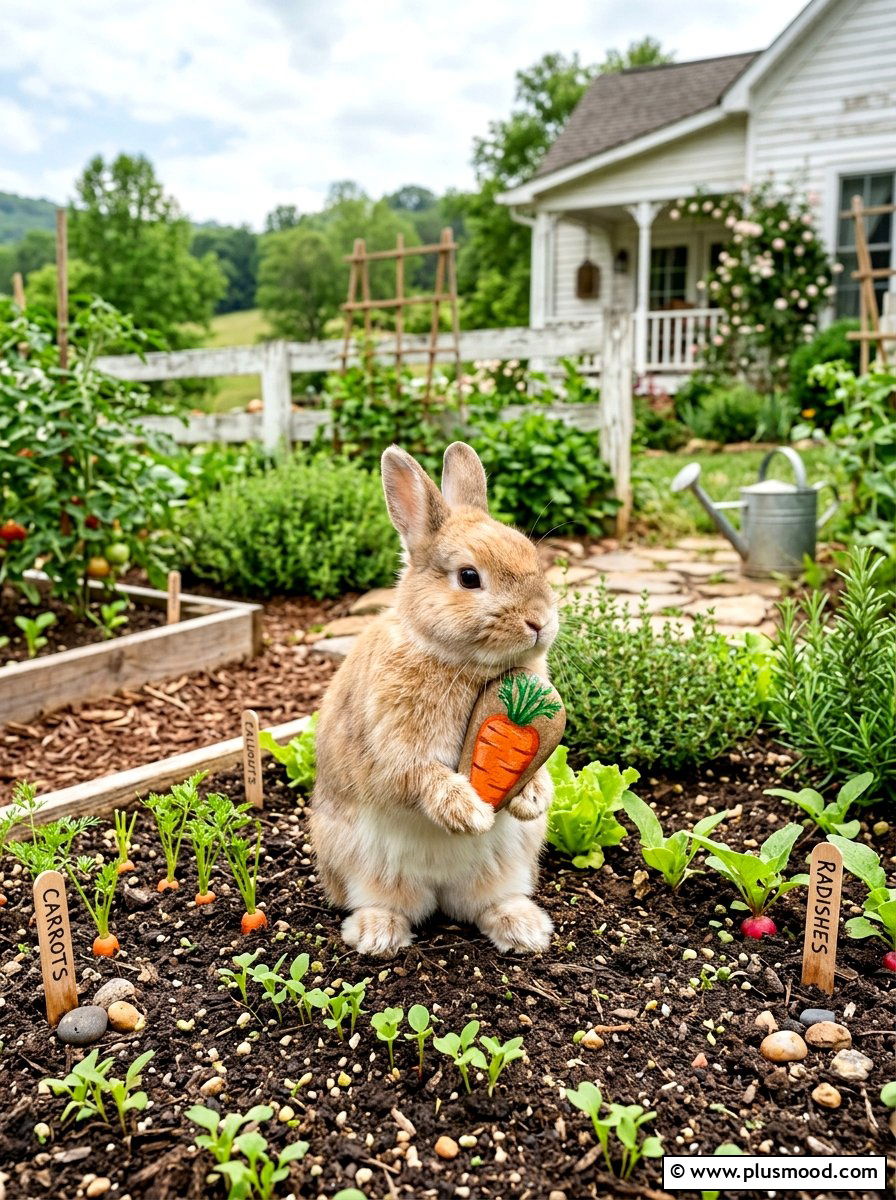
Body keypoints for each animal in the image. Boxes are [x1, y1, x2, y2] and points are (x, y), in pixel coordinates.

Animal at [309, 440, 560, 958]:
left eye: (533, 557)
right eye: (468, 577)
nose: (540, 621)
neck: (459, 662)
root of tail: (440, 893)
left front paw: (532, 798)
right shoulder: (392, 749)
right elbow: (417, 776)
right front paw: (470, 812)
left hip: (508, 865)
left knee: (487, 902)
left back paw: (524, 929)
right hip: (359, 862)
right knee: (383, 902)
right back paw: (378, 934)